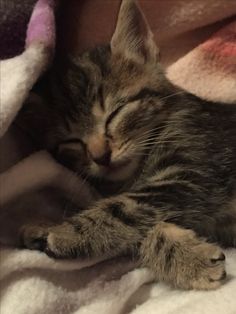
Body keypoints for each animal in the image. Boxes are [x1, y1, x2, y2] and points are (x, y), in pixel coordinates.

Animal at [18, 0, 236, 290]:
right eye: (71, 141)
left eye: (116, 113)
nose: (101, 156)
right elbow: (142, 225)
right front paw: (189, 259)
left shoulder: (194, 170)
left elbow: (123, 208)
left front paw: (62, 232)